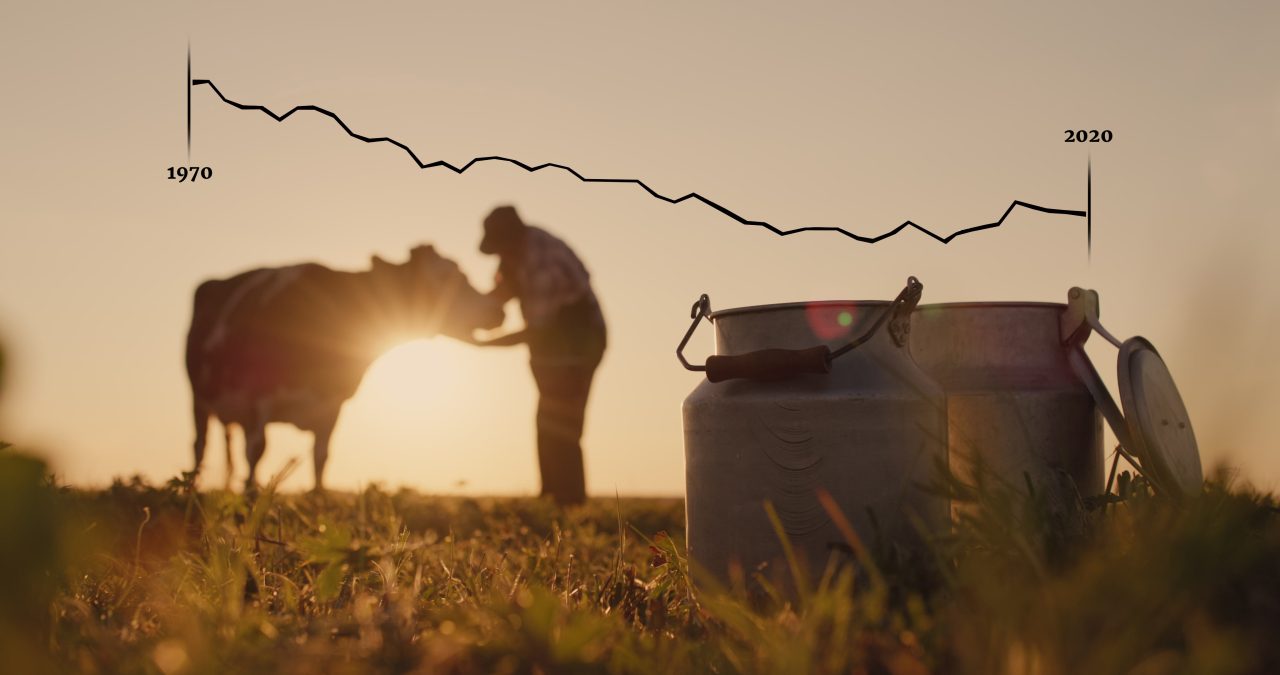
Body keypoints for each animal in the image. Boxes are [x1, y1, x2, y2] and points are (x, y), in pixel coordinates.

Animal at [186, 245, 504, 494]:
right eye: (443, 277)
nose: (496, 310)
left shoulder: (332, 405)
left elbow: (320, 457)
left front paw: (318, 500)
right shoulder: (258, 397)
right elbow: (257, 453)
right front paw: (250, 501)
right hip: (198, 398)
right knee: (199, 446)